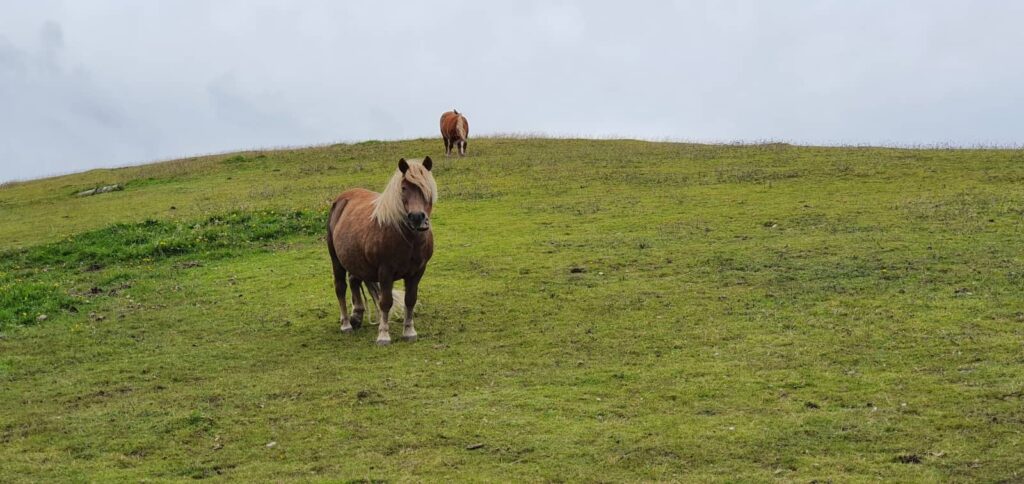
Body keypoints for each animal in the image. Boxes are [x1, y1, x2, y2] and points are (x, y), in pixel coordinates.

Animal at [326, 157, 437, 345]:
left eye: (426, 187)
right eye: (403, 188)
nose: (417, 217)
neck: (407, 238)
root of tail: (340, 200)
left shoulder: (418, 271)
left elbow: (410, 300)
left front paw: (409, 331)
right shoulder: (385, 271)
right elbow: (385, 302)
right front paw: (383, 335)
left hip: (354, 259)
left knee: (354, 280)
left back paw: (357, 315)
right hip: (337, 260)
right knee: (340, 287)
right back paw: (346, 324)